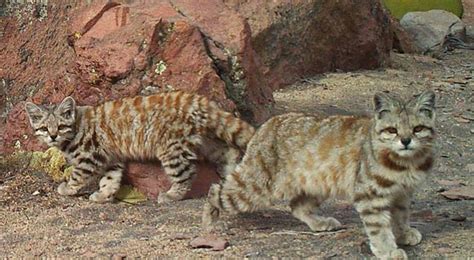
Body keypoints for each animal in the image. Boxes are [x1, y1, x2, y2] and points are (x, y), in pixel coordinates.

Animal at [25, 91, 256, 203]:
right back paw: (230, 172)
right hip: (205, 141)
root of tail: (194, 100)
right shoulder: (112, 159)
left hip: (171, 149)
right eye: (44, 128)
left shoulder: (90, 156)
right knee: (229, 150)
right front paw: (104, 195)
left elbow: (78, 175)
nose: (52, 136)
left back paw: (172, 195)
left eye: (61, 126)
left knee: (187, 174)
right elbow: (110, 180)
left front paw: (68, 188)